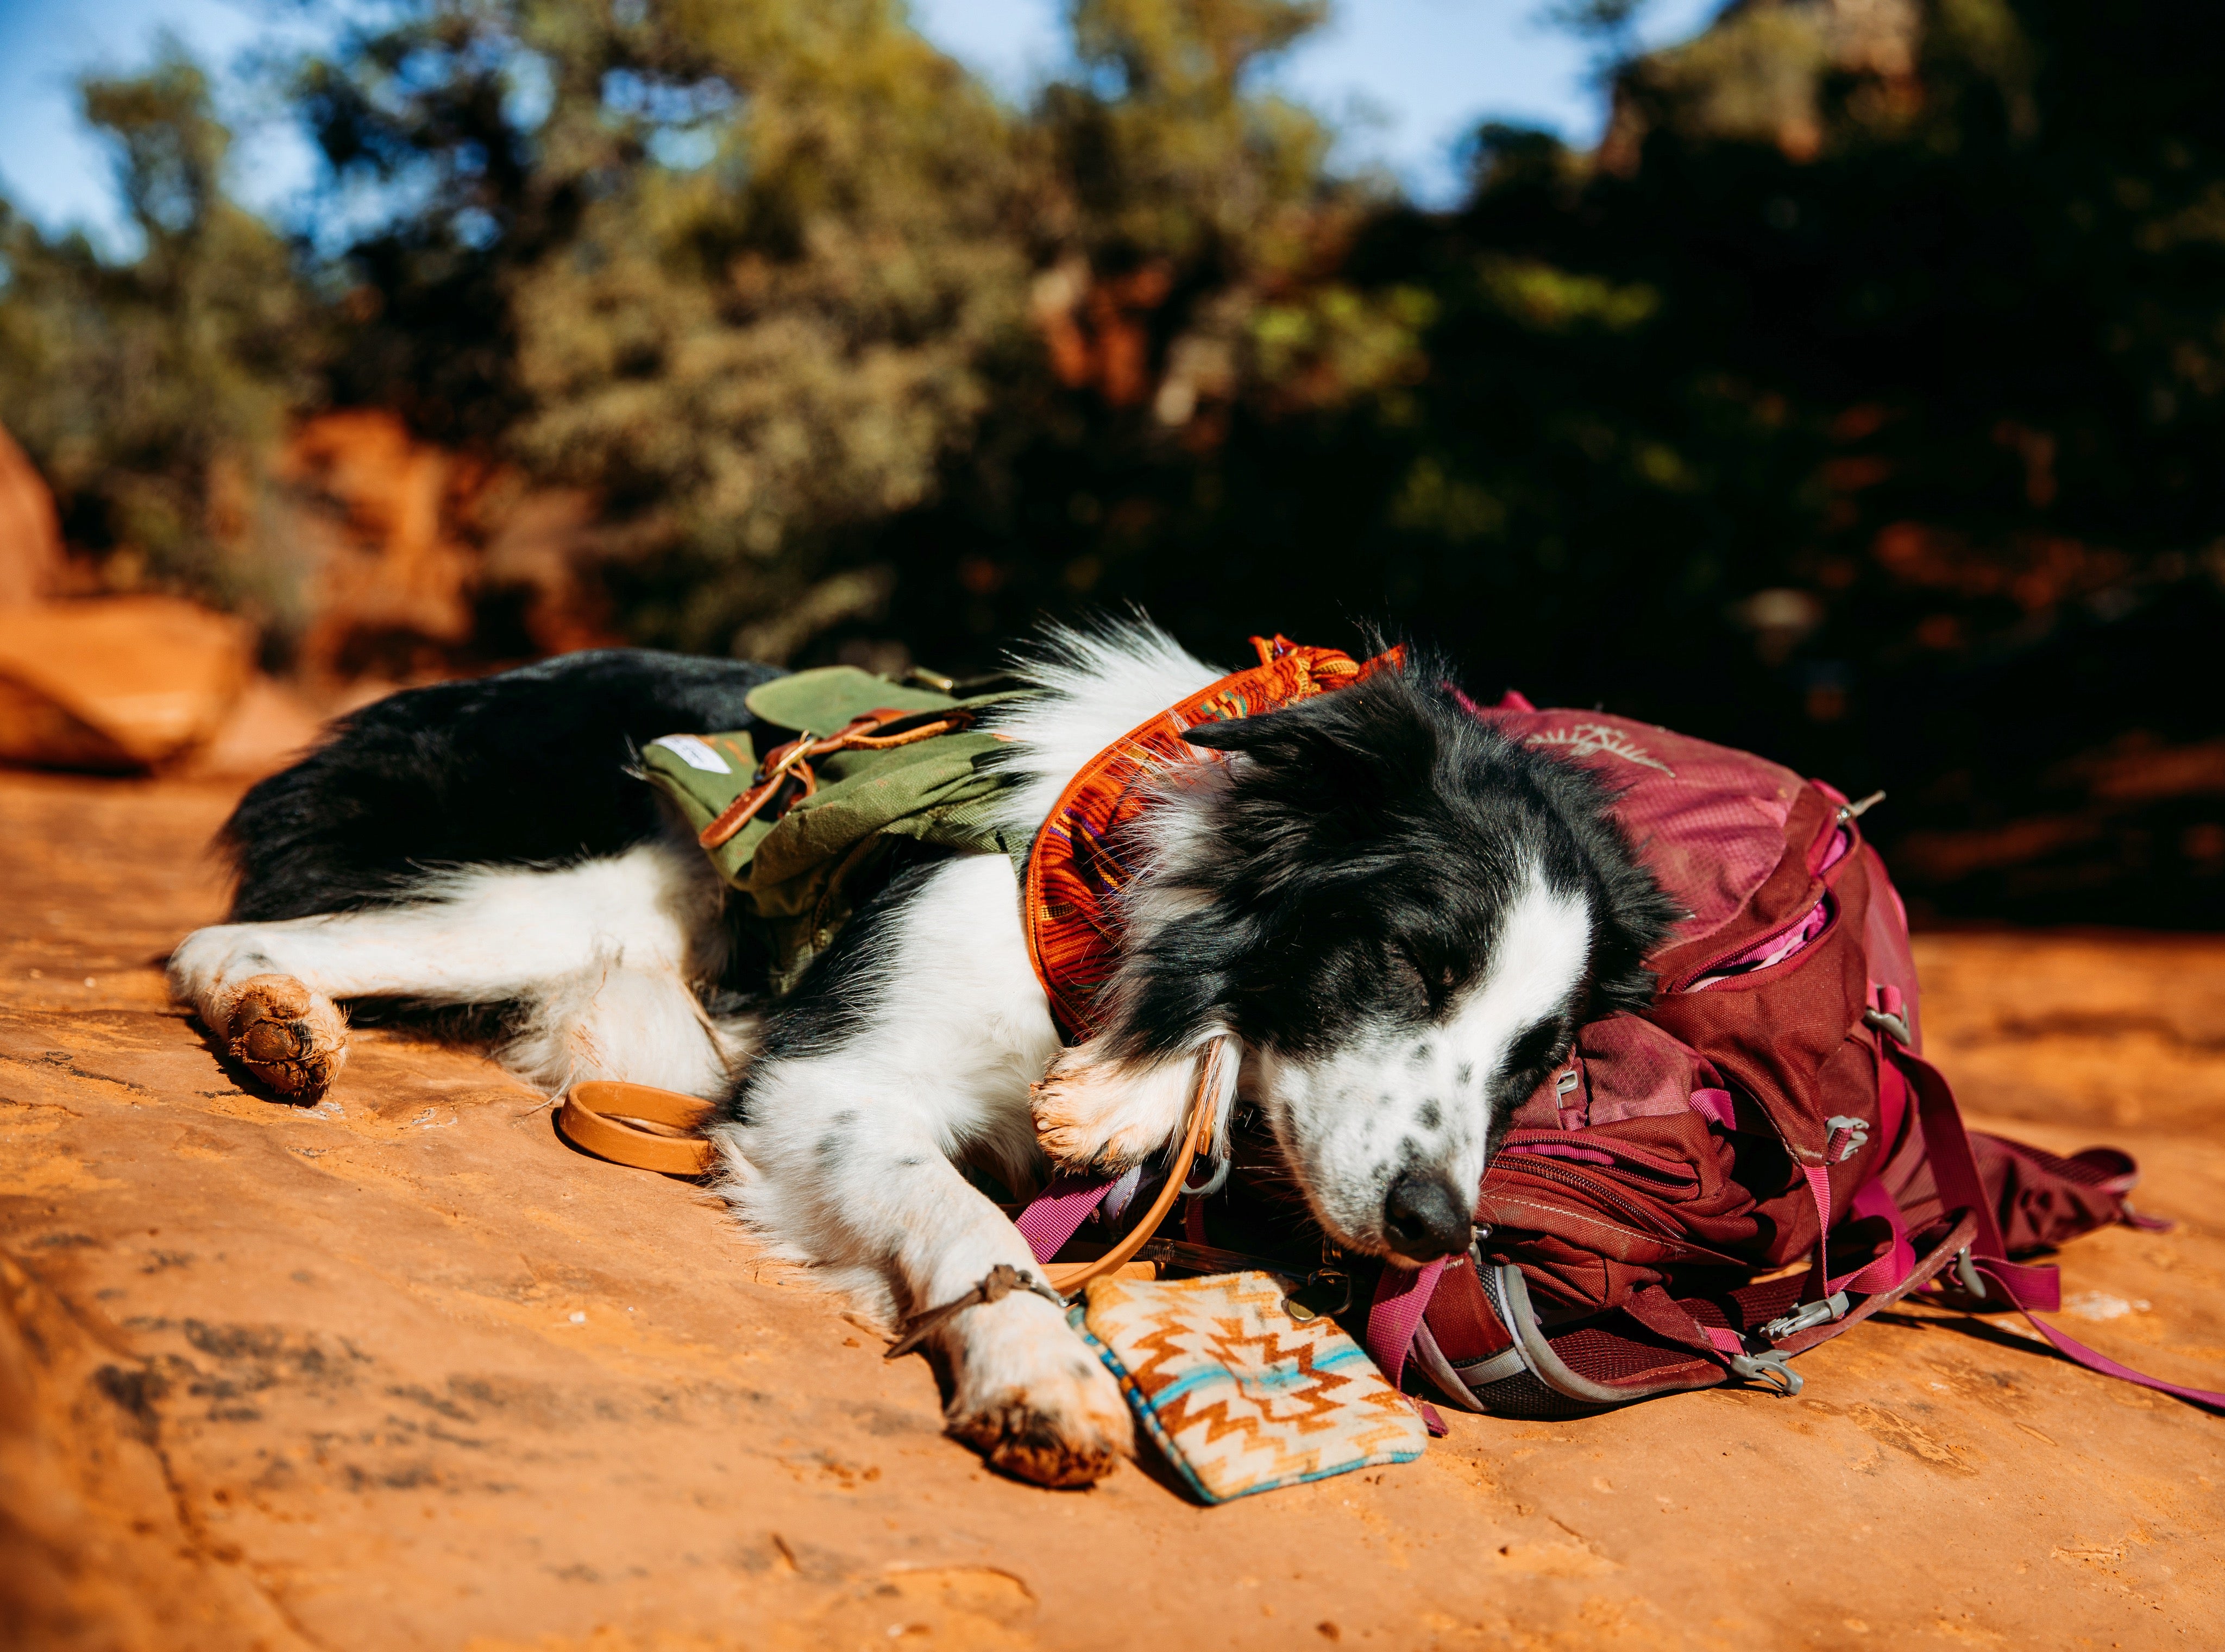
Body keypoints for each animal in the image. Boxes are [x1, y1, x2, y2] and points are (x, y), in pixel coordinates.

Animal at [173, 622, 1673, 1485]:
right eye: (1414, 963)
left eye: (1533, 1060)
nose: (1434, 1228)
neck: (1090, 891)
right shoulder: (827, 1084)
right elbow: (968, 1218)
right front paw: (1039, 1370)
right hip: (598, 882)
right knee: (214, 934)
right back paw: (273, 1019)